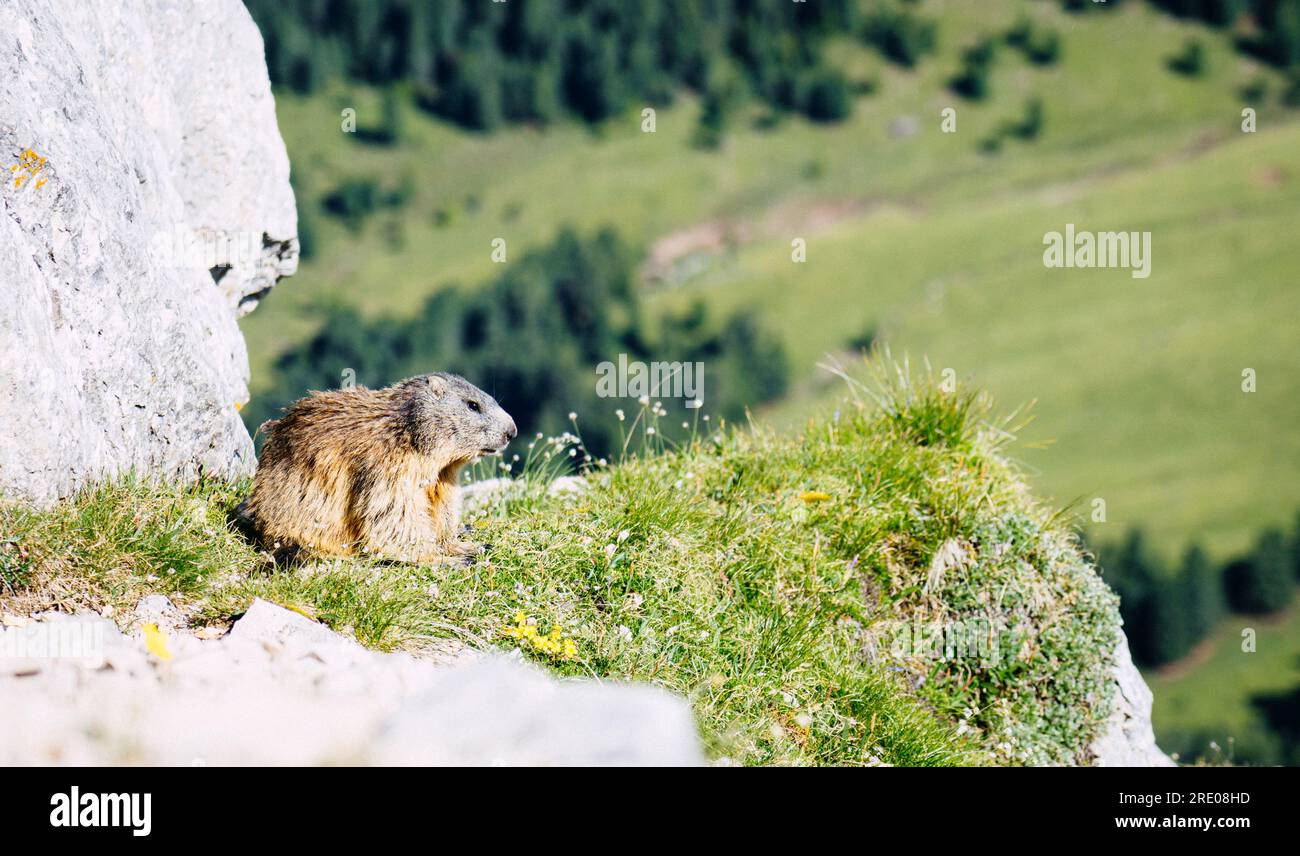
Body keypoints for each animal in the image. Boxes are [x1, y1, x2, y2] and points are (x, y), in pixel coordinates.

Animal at [242, 373, 516, 564]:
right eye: (472, 405)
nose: (512, 431)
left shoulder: (444, 477)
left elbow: (441, 508)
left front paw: (461, 545)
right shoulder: (390, 467)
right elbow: (394, 513)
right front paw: (444, 558)